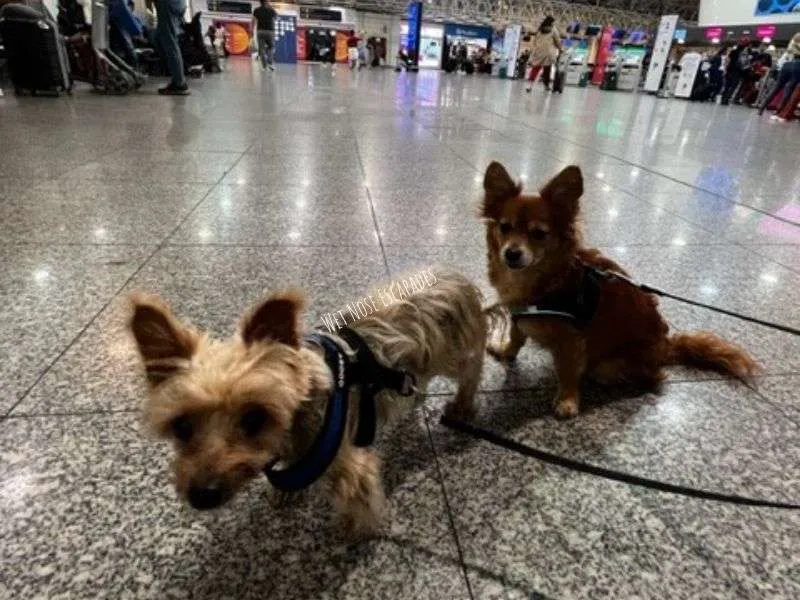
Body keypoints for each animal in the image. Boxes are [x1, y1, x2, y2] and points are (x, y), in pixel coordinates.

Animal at [128, 270, 484, 536]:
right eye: (181, 426)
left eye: (254, 418)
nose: (203, 495)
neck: (303, 403)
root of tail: (459, 277)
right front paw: (285, 491)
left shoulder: (346, 460)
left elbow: (359, 496)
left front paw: (354, 532)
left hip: (454, 351)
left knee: (472, 368)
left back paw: (462, 405)